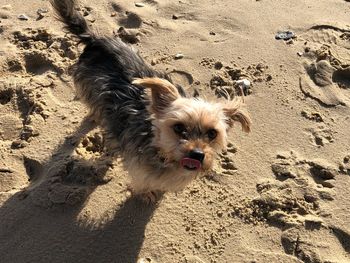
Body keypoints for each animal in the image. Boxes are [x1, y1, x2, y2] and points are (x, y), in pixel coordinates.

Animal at [50, 0, 252, 202]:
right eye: (178, 127)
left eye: (212, 133)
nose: (197, 154)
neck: (157, 145)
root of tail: (95, 40)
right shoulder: (140, 170)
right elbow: (143, 182)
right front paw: (147, 194)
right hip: (89, 88)